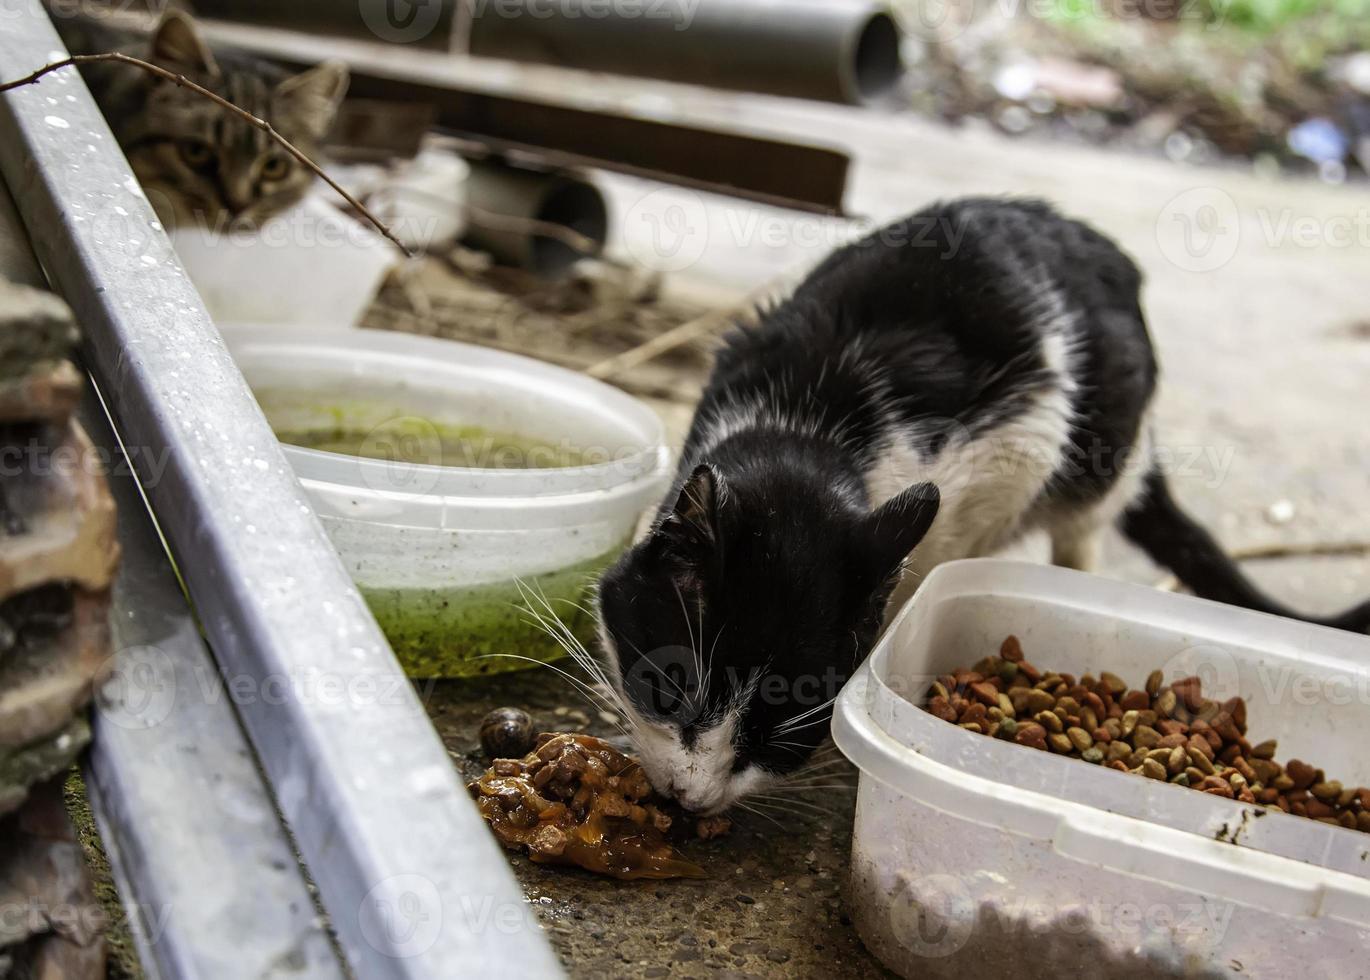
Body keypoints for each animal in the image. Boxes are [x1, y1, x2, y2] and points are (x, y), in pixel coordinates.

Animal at [600, 196, 1370, 816]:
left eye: (777, 737)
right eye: (668, 689)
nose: (689, 799)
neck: (815, 432)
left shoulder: (1012, 454)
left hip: (1100, 455)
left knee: (1081, 532)